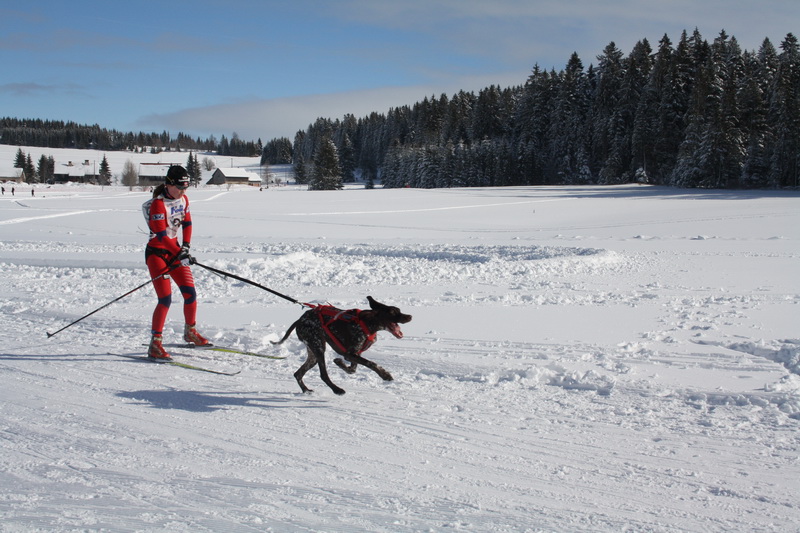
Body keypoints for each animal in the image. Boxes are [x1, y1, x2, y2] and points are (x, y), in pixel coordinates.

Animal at [274, 298, 412, 392]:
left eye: (399, 310)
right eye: (393, 312)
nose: (410, 316)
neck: (368, 323)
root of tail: (300, 320)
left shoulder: (355, 354)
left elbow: (352, 369)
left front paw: (339, 362)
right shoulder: (349, 354)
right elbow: (371, 363)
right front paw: (385, 375)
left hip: (313, 354)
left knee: (298, 374)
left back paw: (306, 391)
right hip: (319, 348)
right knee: (323, 375)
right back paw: (337, 390)